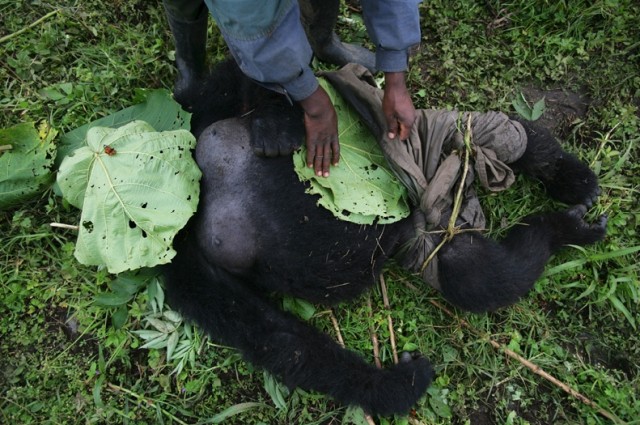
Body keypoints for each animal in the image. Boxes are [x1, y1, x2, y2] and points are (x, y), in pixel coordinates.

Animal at [162, 61, 608, 416]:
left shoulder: (198, 108)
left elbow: (244, 74)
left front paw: (277, 120)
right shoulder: (184, 265)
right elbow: (276, 337)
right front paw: (391, 386)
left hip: (430, 142)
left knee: (491, 133)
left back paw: (566, 177)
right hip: (433, 229)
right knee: (476, 274)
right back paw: (559, 227)